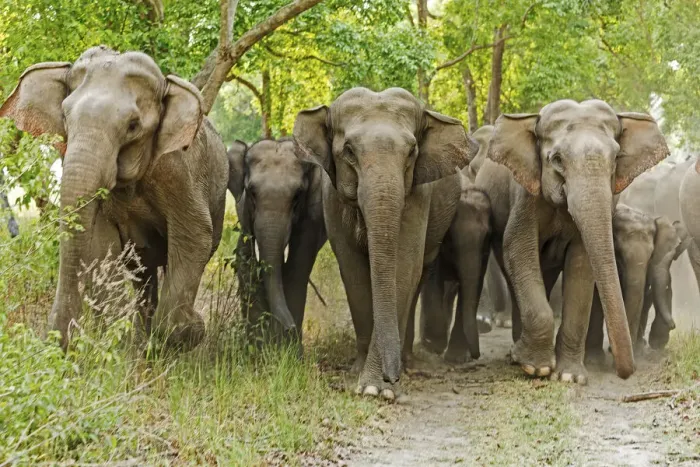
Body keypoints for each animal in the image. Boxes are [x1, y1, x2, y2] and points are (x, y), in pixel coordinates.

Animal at [0, 46, 229, 350]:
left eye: (133, 126)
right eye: (65, 117)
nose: (58, 340)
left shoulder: (179, 170)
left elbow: (194, 235)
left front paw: (190, 331)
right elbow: (100, 241)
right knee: (143, 275)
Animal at [227, 137, 326, 342]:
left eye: (297, 195)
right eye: (251, 192)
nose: (290, 328)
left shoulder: (312, 216)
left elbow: (298, 264)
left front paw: (287, 346)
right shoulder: (244, 211)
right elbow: (245, 258)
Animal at [293, 87, 479, 399]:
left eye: (412, 151)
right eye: (349, 151)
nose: (392, 377)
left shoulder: (418, 194)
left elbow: (403, 269)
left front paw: (375, 388)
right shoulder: (331, 198)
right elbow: (353, 272)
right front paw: (361, 378)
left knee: (419, 275)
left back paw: (406, 360)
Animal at [476, 99, 669, 383]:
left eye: (616, 159)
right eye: (556, 159)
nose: (626, 373)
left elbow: (581, 263)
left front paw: (569, 377)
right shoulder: (525, 192)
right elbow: (517, 248)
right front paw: (537, 368)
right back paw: (516, 356)